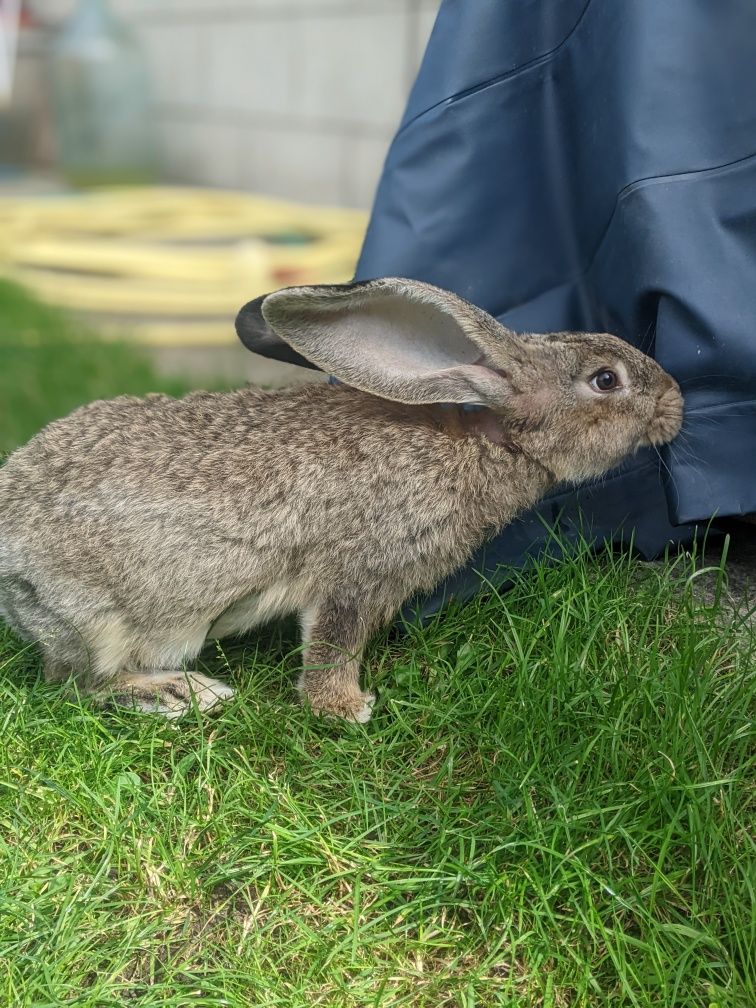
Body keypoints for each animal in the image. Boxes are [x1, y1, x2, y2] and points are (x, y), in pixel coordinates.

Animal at [0, 278, 685, 725]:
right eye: (605, 380)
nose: (676, 402)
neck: (485, 442)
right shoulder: (361, 572)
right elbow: (334, 641)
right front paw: (348, 708)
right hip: (94, 620)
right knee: (75, 684)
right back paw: (177, 694)